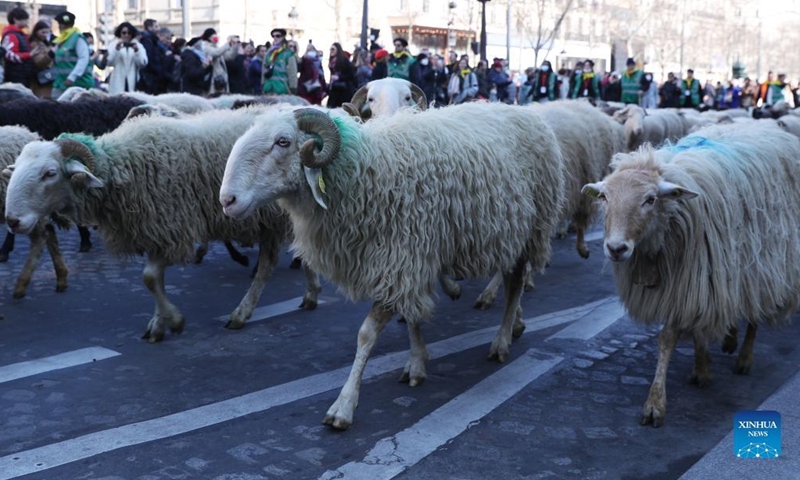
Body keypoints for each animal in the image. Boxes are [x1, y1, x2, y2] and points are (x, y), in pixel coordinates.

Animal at [219, 104, 566, 429]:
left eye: (283, 141)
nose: (227, 200)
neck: (363, 174)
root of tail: (523, 111)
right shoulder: (408, 263)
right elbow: (411, 315)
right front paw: (417, 363)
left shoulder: (401, 257)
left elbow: (366, 334)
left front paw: (343, 406)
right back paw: (516, 323)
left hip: (529, 230)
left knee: (516, 282)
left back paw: (502, 340)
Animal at [581, 123, 800, 428]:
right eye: (604, 198)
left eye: (650, 200)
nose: (616, 248)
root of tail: (769, 128)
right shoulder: (696, 283)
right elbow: (698, 325)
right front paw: (702, 367)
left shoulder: (691, 280)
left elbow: (668, 339)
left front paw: (655, 404)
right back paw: (730, 339)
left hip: (767, 265)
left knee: (756, 311)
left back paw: (744, 357)